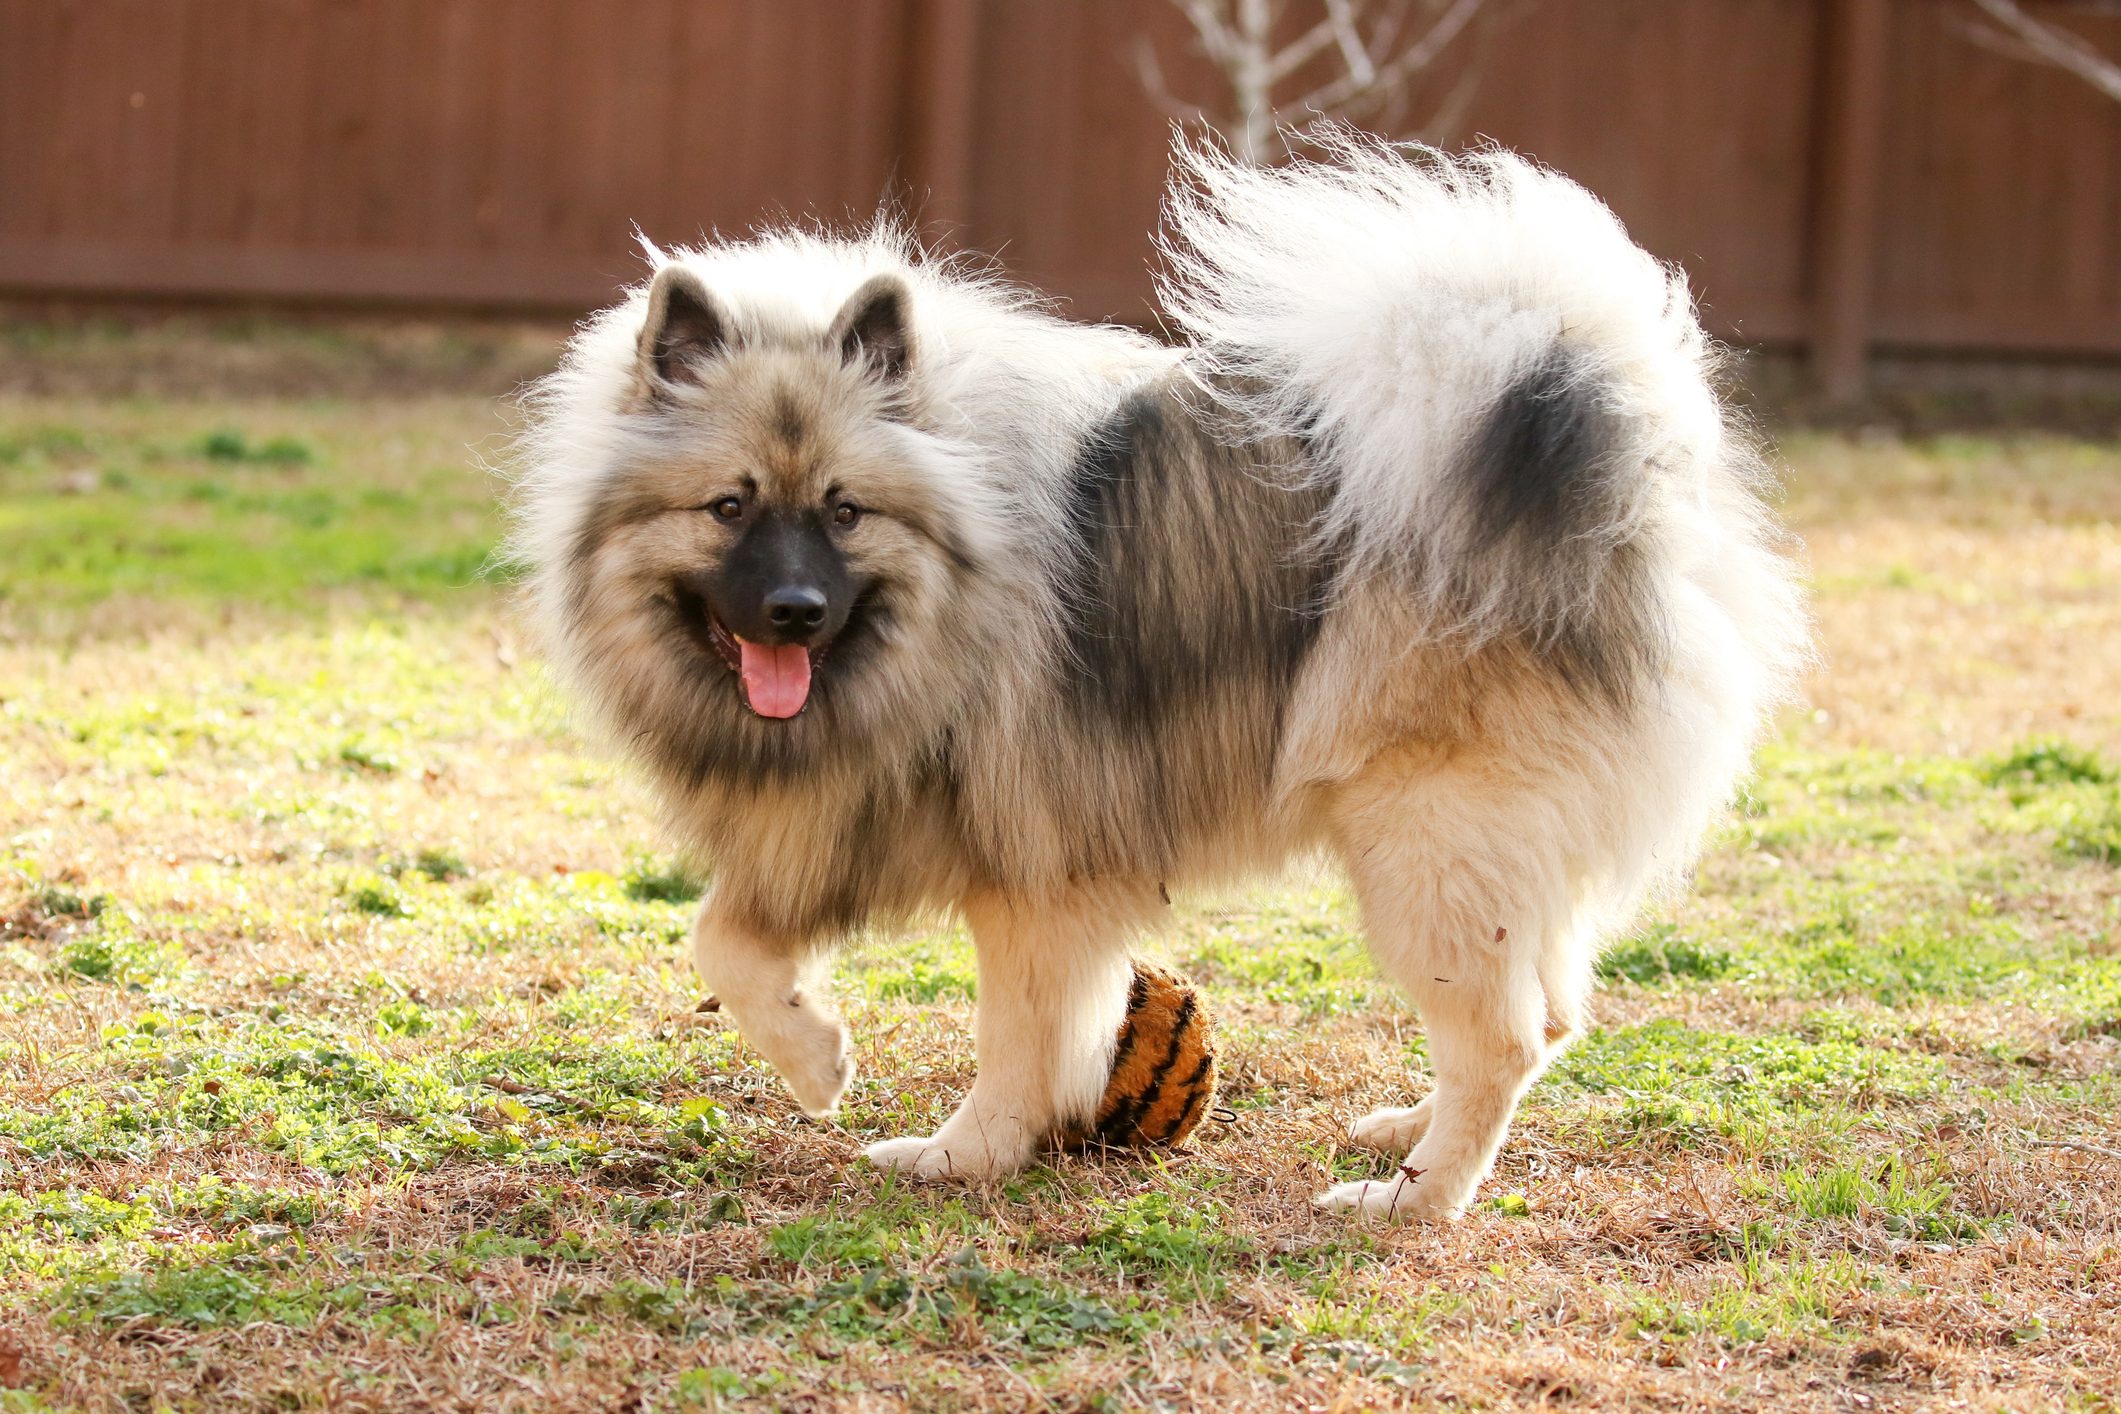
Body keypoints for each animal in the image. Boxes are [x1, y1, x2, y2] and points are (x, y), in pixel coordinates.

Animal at [509, 135, 1807, 1221]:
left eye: (843, 511)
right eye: (729, 508)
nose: (795, 610)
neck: (948, 589)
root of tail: (1622, 480)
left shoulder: (1033, 863)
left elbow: (1018, 1038)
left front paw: (957, 1150)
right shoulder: (844, 815)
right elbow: (722, 941)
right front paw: (818, 1055)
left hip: (1428, 844)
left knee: (1505, 1039)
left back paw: (1415, 1199)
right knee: (1548, 1012)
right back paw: (1406, 1131)